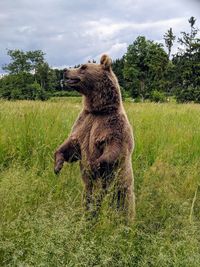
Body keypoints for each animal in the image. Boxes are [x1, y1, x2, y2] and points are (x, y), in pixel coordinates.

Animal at [54, 54, 135, 220]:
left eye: (83, 67)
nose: (65, 71)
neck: (98, 110)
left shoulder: (113, 125)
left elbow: (115, 149)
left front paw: (93, 165)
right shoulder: (85, 122)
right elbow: (71, 146)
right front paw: (57, 166)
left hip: (121, 187)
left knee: (122, 204)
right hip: (89, 190)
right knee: (89, 201)